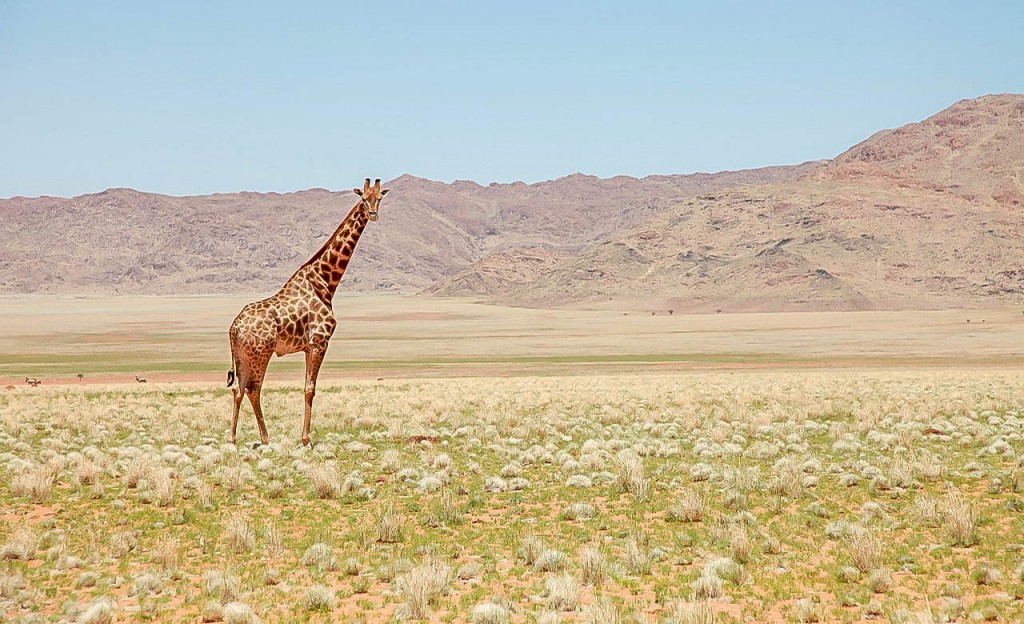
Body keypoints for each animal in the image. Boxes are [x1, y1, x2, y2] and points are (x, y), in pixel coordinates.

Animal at [227, 177, 387, 444]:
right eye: (364, 199)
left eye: (379, 198)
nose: (373, 214)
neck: (325, 282)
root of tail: (234, 328)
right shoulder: (319, 341)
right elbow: (310, 389)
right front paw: (306, 439)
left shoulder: (307, 347)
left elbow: (306, 387)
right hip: (261, 353)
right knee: (253, 388)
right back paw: (265, 438)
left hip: (243, 356)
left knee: (238, 390)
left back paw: (232, 439)